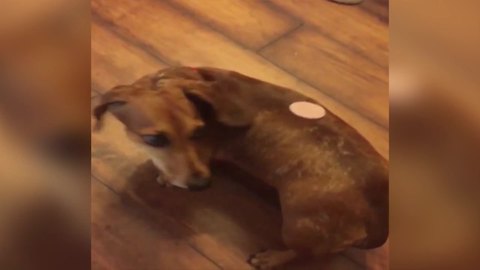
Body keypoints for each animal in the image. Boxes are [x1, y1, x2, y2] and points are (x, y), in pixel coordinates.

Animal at [94, 66, 390, 268]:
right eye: (154, 139)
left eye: (198, 132)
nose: (203, 185)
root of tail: (376, 214)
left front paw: (165, 177)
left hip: (297, 226)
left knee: (303, 253)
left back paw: (271, 258)